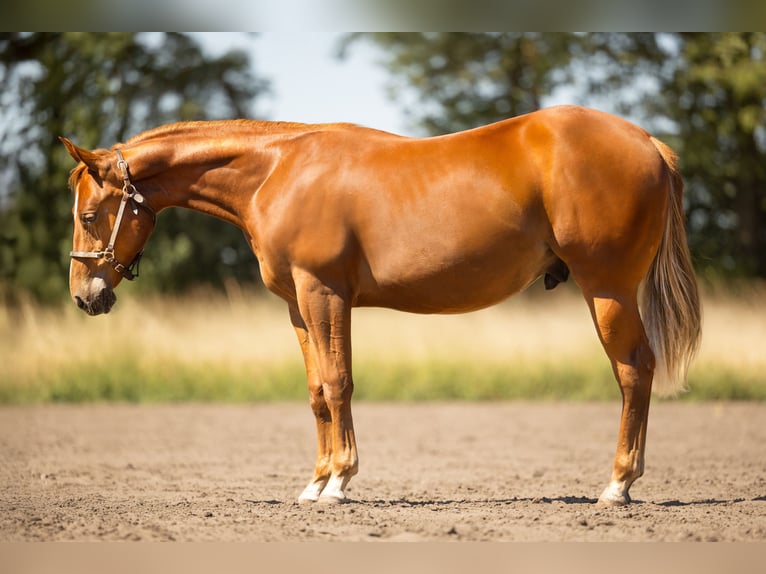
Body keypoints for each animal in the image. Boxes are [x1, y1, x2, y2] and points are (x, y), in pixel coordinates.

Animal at [61, 105, 701, 506]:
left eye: (89, 214)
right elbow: (317, 390)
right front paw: (315, 483)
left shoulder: (324, 294)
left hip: (607, 289)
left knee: (633, 372)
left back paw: (618, 485)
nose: (84, 297)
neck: (277, 171)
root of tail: (648, 143)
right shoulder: (297, 305)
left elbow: (339, 381)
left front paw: (340, 482)